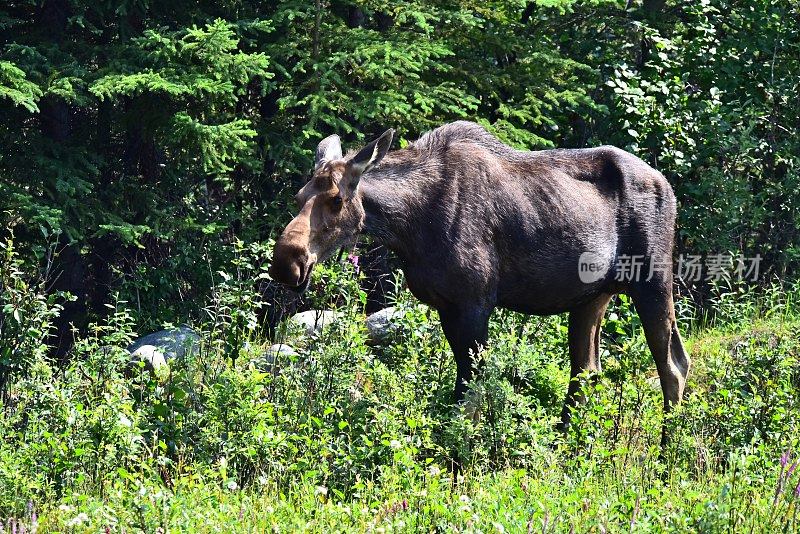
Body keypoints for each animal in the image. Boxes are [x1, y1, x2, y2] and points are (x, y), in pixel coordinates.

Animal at [268, 122, 688, 440]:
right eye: (299, 196)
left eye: (337, 200)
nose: (287, 263)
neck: (409, 227)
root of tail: (668, 185)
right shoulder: (447, 305)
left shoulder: (475, 301)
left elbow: (468, 396)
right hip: (591, 297)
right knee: (586, 371)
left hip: (653, 279)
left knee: (674, 364)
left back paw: (666, 453)